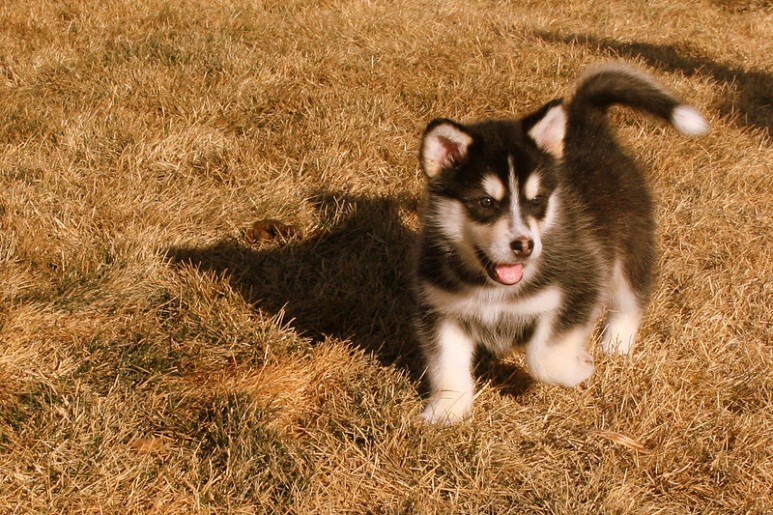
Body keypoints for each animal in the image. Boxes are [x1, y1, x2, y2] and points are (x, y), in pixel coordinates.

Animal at [414, 62, 708, 424]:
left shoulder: (582, 284)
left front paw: (577, 369)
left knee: (630, 298)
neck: (493, 289)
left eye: (536, 201)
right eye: (486, 202)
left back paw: (617, 343)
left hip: (631, 246)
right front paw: (447, 409)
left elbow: (544, 355)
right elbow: (446, 365)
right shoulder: (441, 308)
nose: (524, 246)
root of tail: (589, 127)